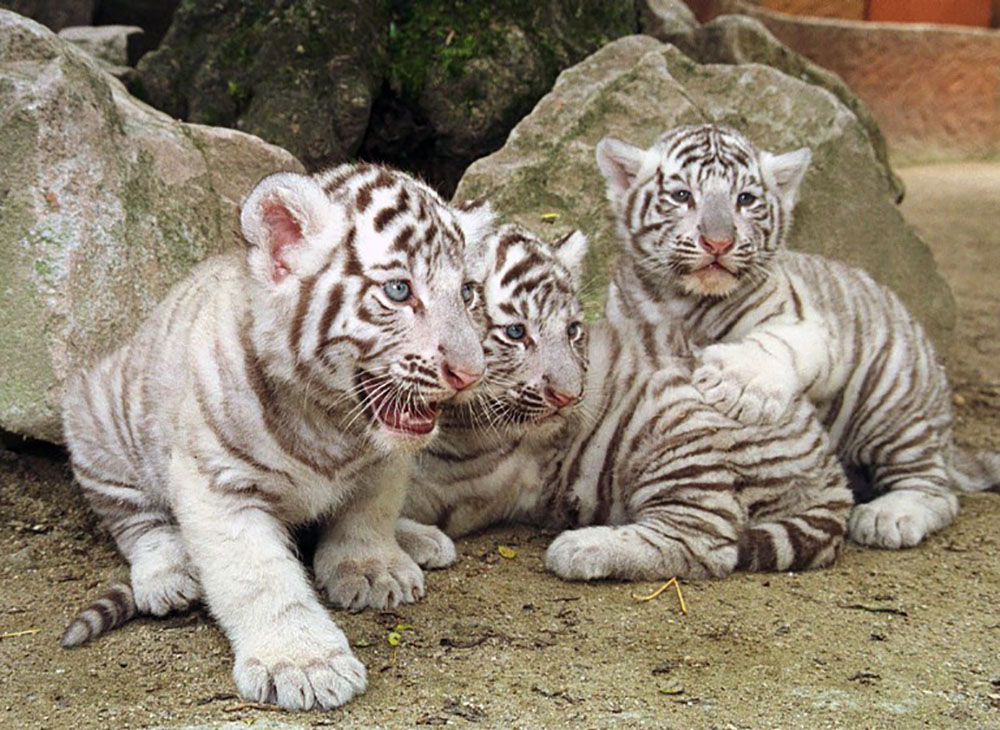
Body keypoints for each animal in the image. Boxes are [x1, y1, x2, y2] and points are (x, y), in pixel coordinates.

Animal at [59, 163, 493, 710]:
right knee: (138, 522)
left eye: (467, 293)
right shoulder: (219, 485)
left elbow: (369, 513)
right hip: (98, 425)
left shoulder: (386, 464)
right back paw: (168, 575)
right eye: (398, 291)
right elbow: (259, 578)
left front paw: (373, 569)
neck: (331, 421)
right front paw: (304, 662)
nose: (470, 373)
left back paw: (419, 538)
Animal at [399, 223, 853, 581]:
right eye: (515, 333)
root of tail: (830, 466)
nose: (569, 396)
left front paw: (421, 541)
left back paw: (581, 548)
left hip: (677, 434)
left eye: (572, 330)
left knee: (704, 539)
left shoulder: (467, 488)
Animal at [595, 123, 1000, 551]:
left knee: (935, 486)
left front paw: (737, 382)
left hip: (892, 407)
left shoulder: (809, 324)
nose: (719, 242)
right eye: (682, 196)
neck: (686, 300)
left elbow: (773, 342)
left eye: (745, 199)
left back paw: (891, 514)